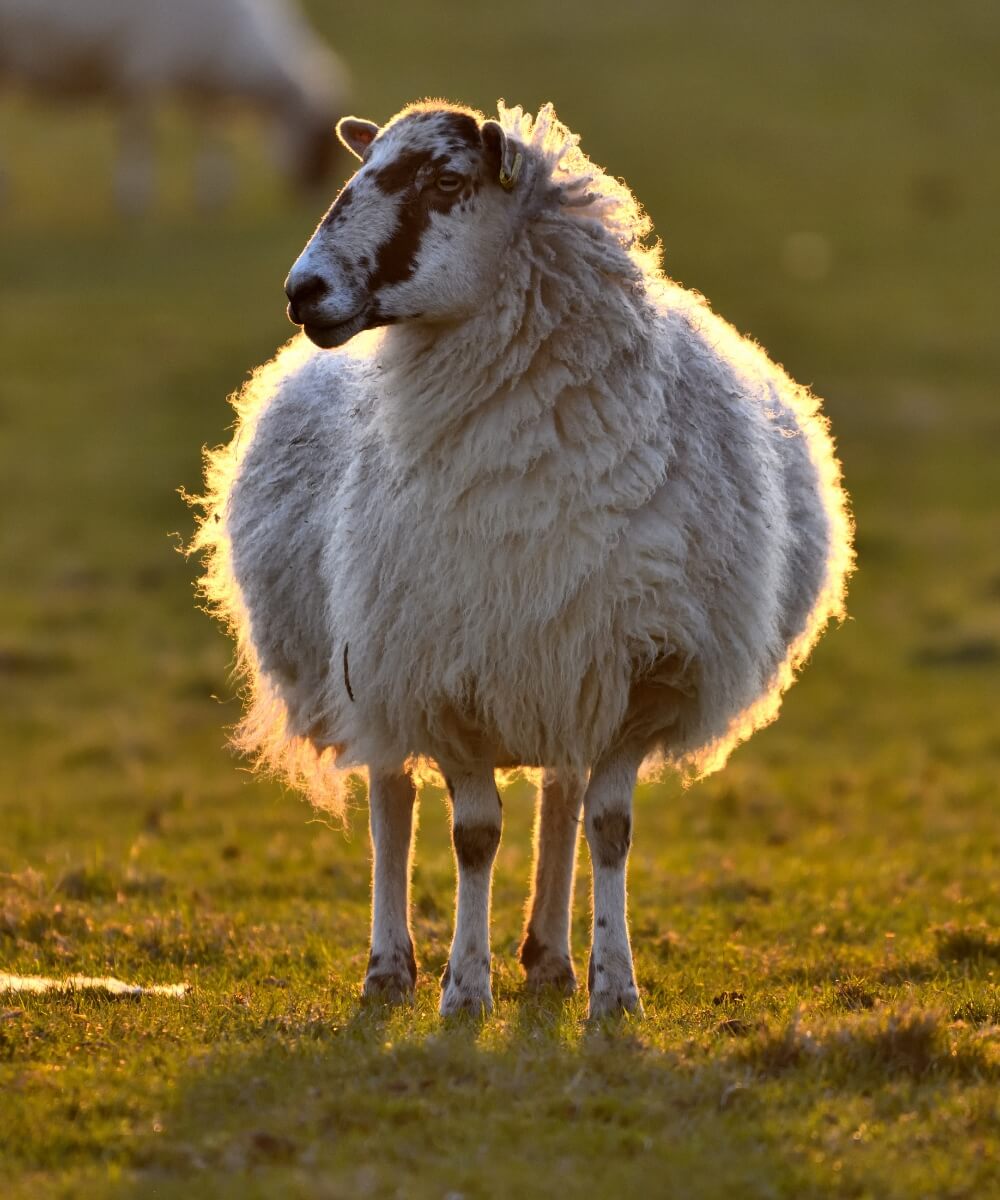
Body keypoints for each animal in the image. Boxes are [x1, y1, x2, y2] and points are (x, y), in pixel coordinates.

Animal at [0, 0, 350, 212]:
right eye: (321, 142)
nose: (313, 202)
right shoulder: (143, 69)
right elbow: (138, 140)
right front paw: (134, 202)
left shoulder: (206, 84)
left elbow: (212, 137)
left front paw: (211, 197)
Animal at [193, 103, 849, 1017]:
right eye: (363, 168)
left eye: (445, 180)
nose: (304, 292)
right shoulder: (442, 679)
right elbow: (473, 836)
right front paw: (466, 988)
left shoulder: (637, 673)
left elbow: (608, 828)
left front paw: (616, 987)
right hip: (376, 665)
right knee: (391, 805)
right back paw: (390, 966)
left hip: (558, 658)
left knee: (561, 797)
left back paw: (550, 957)